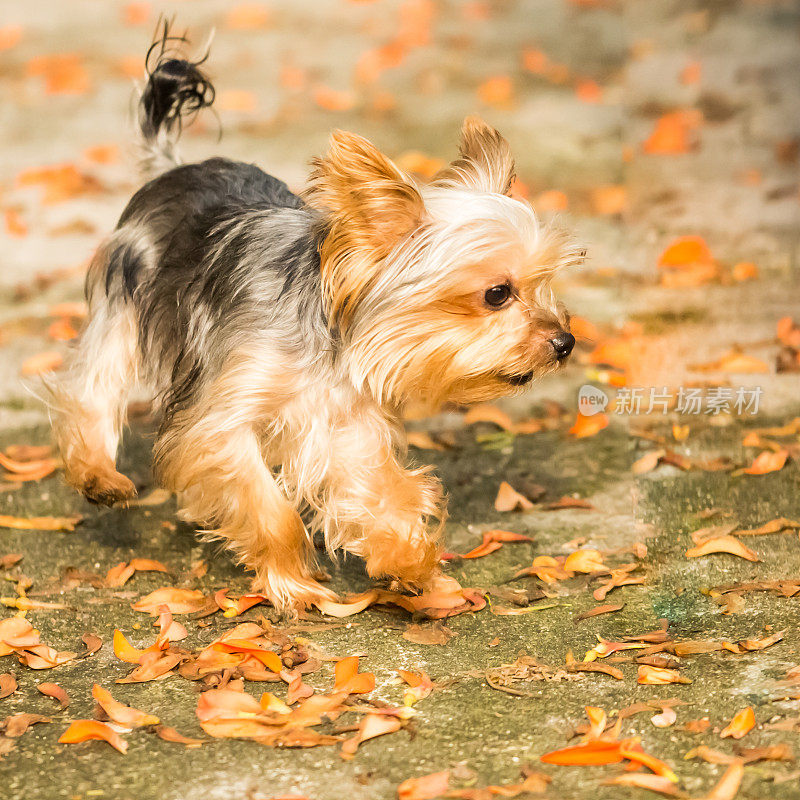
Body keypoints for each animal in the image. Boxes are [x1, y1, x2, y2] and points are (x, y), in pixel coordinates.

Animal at [47, 31, 580, 612]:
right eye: (497, 294)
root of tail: (172, 168)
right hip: (123, 302)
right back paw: (98, 475)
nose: (565, 342)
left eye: (544, 283)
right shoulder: (221, 418)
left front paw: (407, 562)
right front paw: (295, 583)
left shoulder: (344, 422)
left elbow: (378, 490)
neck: (332, 341)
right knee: (93, 385)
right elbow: (268, 506)